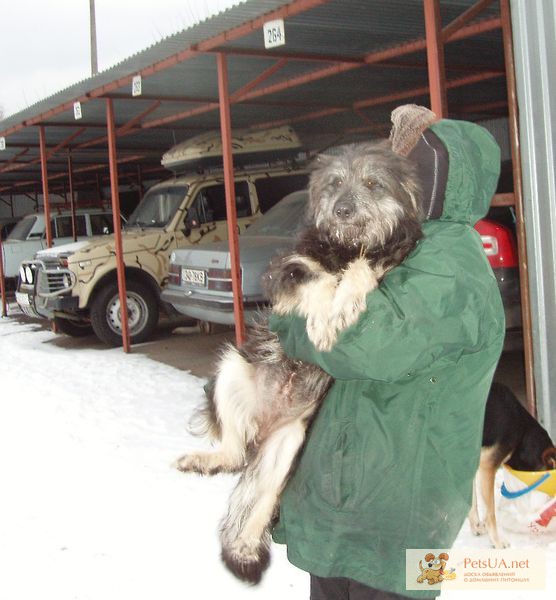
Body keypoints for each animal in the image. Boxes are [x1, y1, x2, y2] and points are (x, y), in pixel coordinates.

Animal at [176, 139, 424, 580]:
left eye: (373, 184)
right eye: (335, 183)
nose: (342, 210)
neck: (346, 244)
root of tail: (263, 426)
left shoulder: (386, 264)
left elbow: (362, 270)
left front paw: (341, 305)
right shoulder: (284, 270)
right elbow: (316, 276)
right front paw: (324, 316)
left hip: (289, 445)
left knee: (261, 494)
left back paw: (244, 546)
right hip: (230, 369)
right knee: (232, 453)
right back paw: (204, 461)